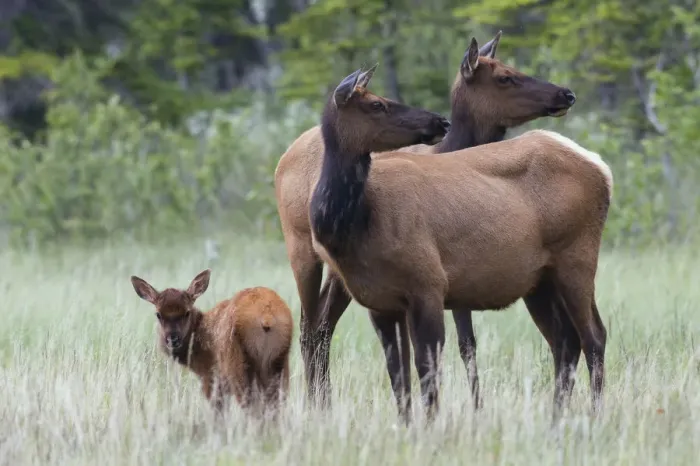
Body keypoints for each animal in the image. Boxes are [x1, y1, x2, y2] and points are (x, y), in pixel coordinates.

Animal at [129, 269, 294, 418]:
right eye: (158, 314)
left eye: (187, 312)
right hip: (279, 362)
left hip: (237, 365)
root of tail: (267, 317)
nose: (172, 339)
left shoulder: (211, 377)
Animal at [274, 31, 579, 411]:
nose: (566, 93)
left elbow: (463, 343)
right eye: (504, 77)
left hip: (337, 272)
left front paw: (473, 405)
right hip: (301, 250)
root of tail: (283, 158)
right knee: (308, 328)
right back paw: (316, 403)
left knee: (322, 325)